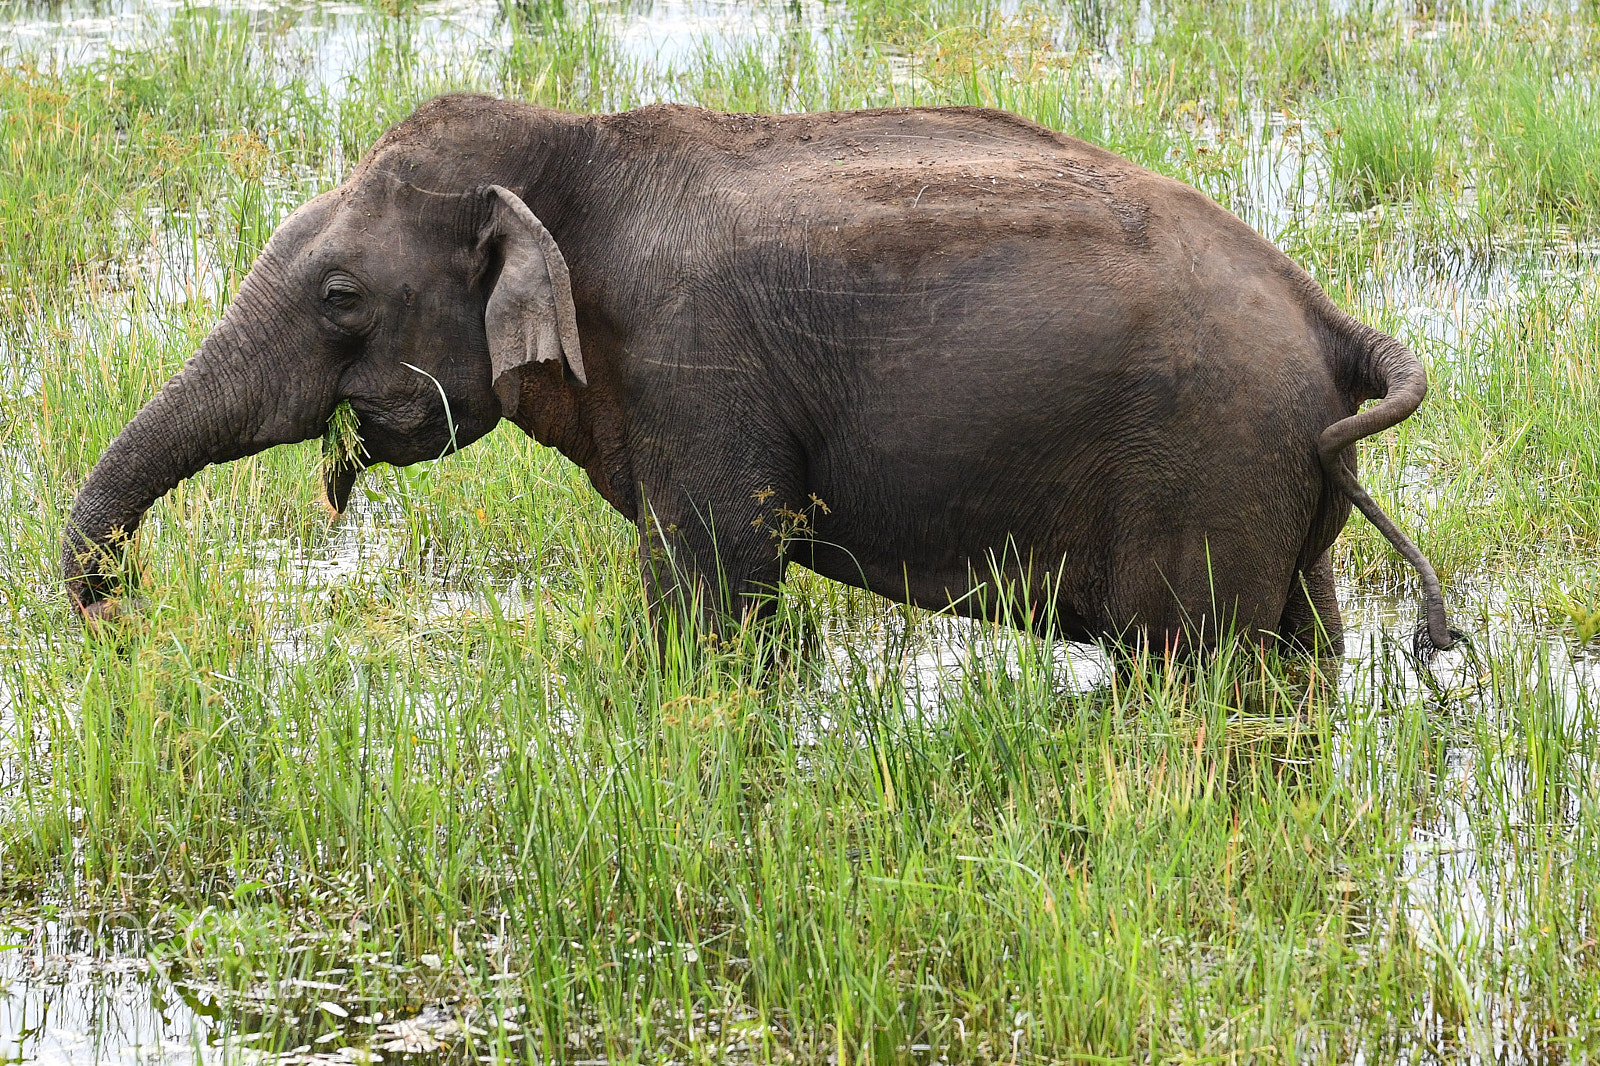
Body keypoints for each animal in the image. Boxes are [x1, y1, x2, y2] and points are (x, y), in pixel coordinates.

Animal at [63, 93, 1456, 659]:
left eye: (342, 297)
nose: (126, 616)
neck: (571, 149)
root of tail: (1328, 316)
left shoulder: (699, 366)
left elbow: (717, 588)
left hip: (1201, 460)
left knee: (1194, 668)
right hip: (1268, 468)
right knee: (1297, 653)